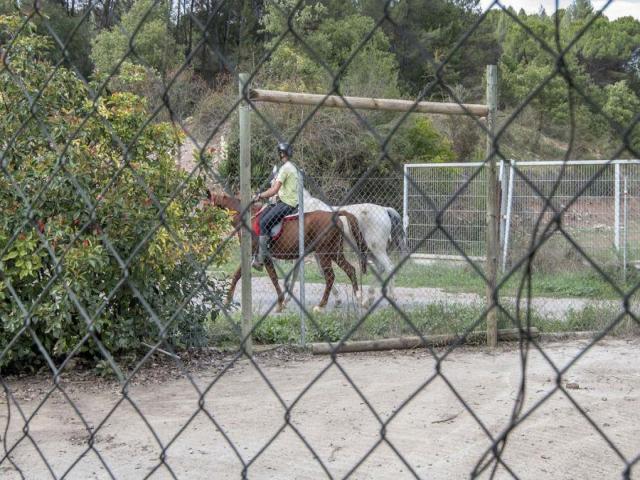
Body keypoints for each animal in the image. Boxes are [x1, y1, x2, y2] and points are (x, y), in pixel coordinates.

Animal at [205, 190, 368, 312]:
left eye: (204, 205)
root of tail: (335, 215)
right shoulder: (259, 256)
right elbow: (262, 277)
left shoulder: (257, 255)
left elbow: (252, 276)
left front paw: (227, 301)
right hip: (334, 253)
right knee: (350, 270)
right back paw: (358, 299)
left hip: (324, 254)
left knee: (330, 277)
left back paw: (321, 305)